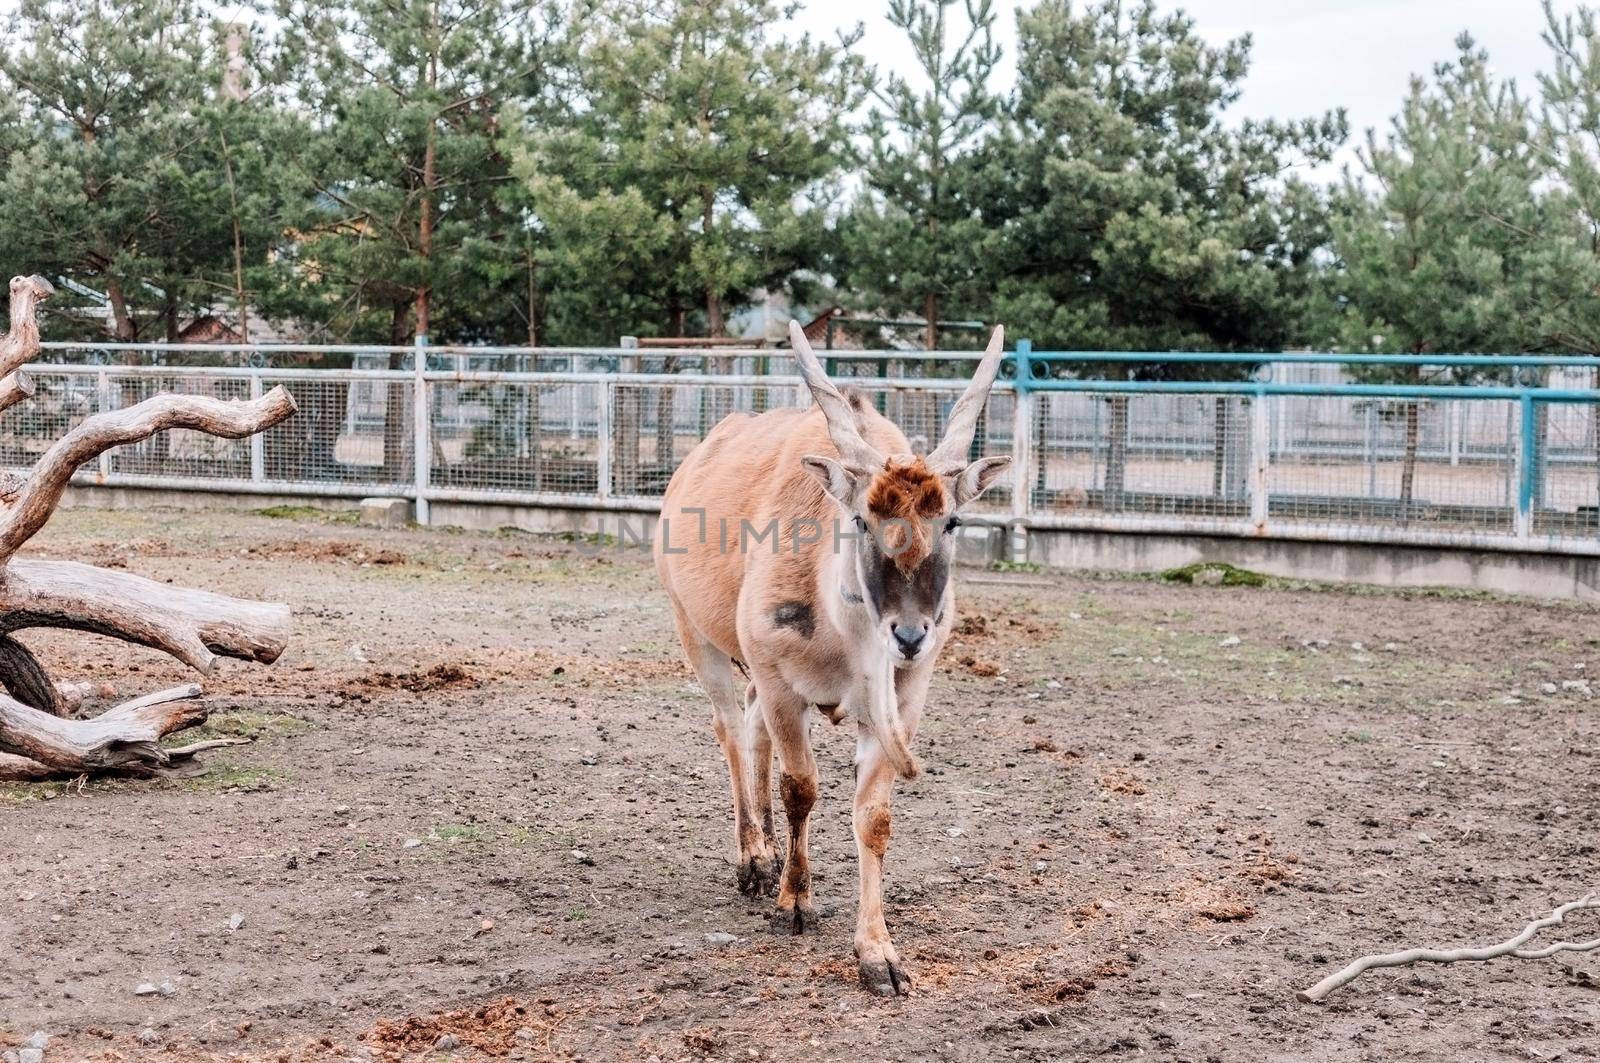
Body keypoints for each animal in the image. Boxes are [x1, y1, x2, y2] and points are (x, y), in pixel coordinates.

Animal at [652, 321, 1011, 998]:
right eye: (863, 518)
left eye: (951, 520)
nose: (909, 636)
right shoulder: (781, 684)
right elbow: (801, 788)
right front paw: (794, 903)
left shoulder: (900, 702)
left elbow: (873, 818)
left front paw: (878, 954)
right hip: (697, 635)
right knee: (730, 729)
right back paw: (752, 860)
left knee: (749, 725)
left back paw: (766, 855)